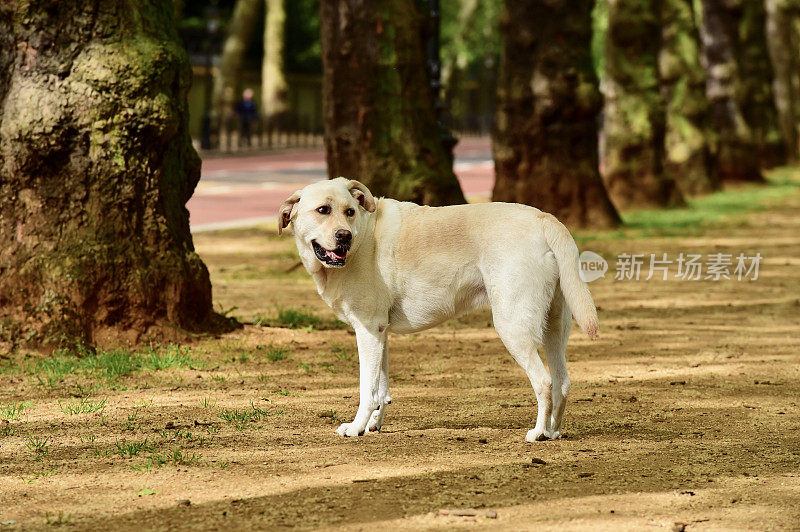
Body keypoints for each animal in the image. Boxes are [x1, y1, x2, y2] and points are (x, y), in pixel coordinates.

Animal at [278, 178, 596, 440]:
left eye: (349, 211)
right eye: (323, 210)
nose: (344, 236)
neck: (364, 238)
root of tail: (544, 218)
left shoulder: (367, 331)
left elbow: (367, 389)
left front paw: (356, 427)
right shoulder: (380, 333)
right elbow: (382, 389)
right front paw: (373, 425)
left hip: (513, 327)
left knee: (544, 381)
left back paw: (538, 433)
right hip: (554, 327)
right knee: (562, 382)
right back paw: (553, 432)